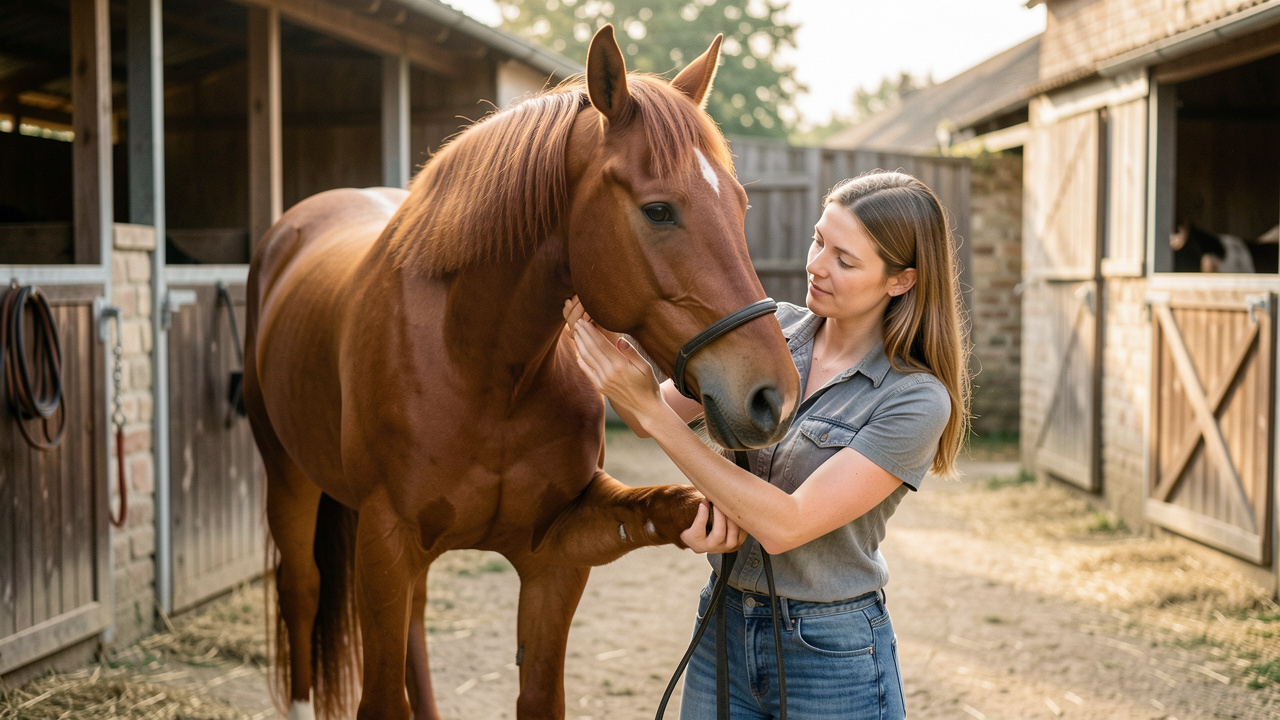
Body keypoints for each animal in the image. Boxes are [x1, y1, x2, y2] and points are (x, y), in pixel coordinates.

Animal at [244, 25, 801, 720]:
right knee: (302, 588)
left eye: (741, 204)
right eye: (658, 211)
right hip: (287, 476)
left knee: (412, 622)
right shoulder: (386, 541)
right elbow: (380, 697)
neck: (483, 369)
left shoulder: (557, 553)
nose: (772, 396)